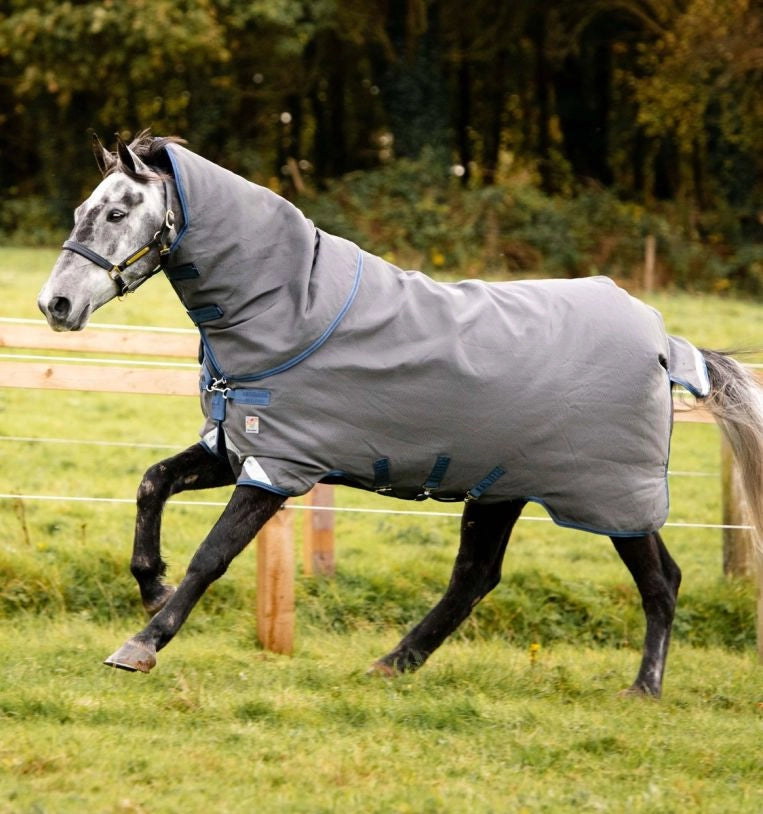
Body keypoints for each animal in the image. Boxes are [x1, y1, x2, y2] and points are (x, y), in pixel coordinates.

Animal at [37, 131, 763, 698]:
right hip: (507, 488)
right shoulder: (237, 449)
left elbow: (212, 555)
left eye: (117, 211)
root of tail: (666, 344)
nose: (56, 304)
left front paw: (143, 641)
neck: (292, 310)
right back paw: (392, 664)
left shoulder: (279, 468)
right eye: (82, 209)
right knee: (476, 578)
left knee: (659, 581)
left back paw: (643, 687)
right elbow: (152, 483)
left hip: (607, 493)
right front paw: (150, 585)